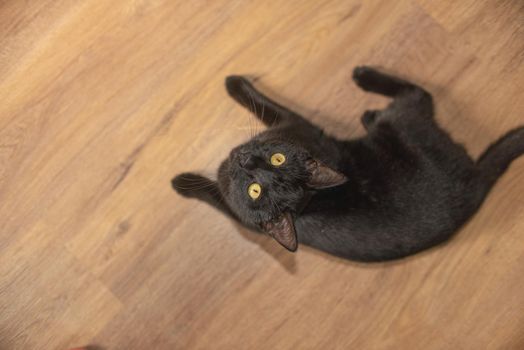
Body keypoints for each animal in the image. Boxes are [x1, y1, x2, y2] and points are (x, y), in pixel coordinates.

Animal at [173, 67, 524, 262]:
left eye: (277, 159)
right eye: (256, 190)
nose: (245, 160)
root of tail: (476, 185)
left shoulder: (291, 123)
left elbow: (260, 104)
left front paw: (180, 182)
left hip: (400, 122)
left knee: (419, 94)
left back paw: (363, 76)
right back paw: (366, 113)